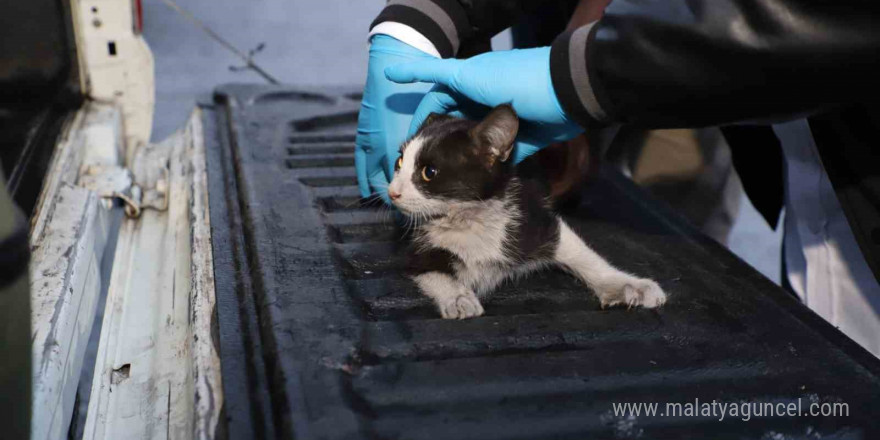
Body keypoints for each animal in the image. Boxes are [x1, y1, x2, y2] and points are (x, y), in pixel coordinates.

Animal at [386, 106, 668, 320]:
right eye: (399, 162)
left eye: (429, 172)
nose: (392, 192)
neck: (469, 218)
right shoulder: (418, 248)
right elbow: (432, 271)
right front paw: (457, 297)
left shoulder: (534, 216)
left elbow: (581, 253)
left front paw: (627, 285)